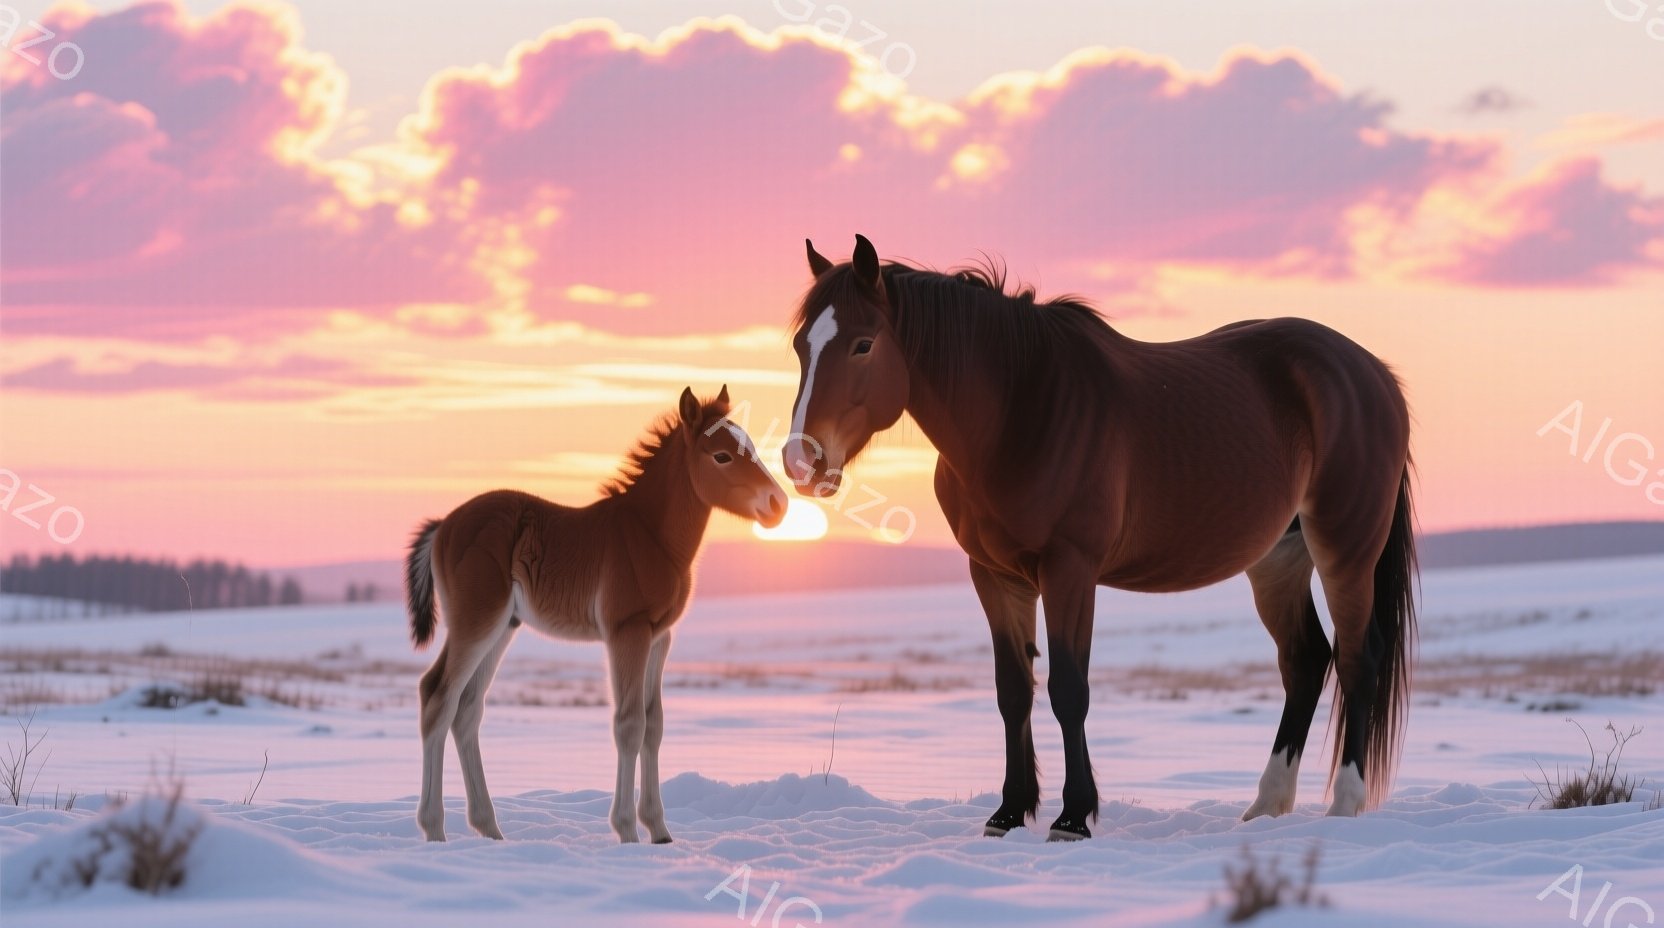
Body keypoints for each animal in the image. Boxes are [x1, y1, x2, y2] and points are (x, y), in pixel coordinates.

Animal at [403, 386, 787, 843]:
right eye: (722, 456)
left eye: (751, 447)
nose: (778, 504)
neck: (651, 536)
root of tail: (444, 525)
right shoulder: (627, 631)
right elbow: (629, 724)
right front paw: (628, 831)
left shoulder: (660, 637)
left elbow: (654, 725)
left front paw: (660, 831)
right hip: (477, 621)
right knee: (438, 696)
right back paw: (434, 830)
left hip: (502, 627)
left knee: (467, 709)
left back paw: (490, 830)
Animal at [784, 236, 1416, 841]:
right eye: (799, 347)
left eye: (863, 344)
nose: (800, 461)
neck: (1020, 412)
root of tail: (1372, 373)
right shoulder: (994, 576)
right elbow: (1012, 692)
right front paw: (1008, 813)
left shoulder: (1070, 570)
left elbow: (1069, 689)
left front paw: (1071, 818)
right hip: (1278, 559)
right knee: (1305, 660)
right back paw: (1265, 807)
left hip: (1345, 549)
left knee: (1358, 657)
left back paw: (1344, 805)